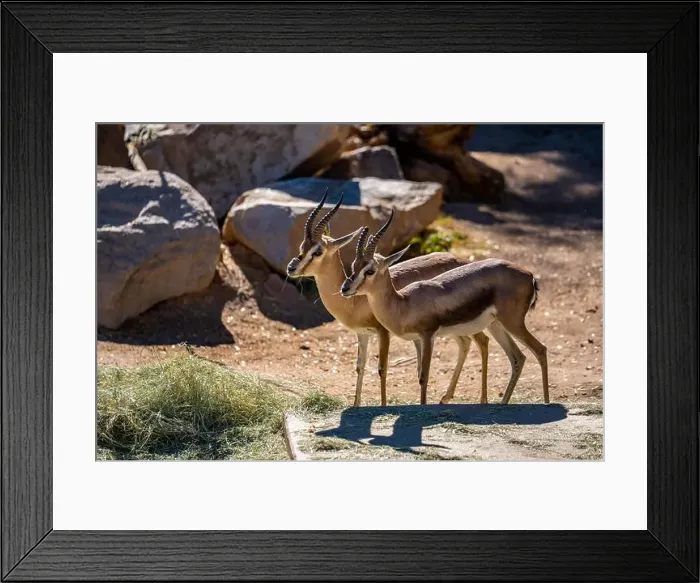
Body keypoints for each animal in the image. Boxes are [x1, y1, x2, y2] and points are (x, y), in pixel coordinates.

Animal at [286, 191, 490, 407]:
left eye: (317, 251)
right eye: (302, 246)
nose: (291, 268)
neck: (355, 302)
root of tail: (461, 261)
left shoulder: (383, 333)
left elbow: (382, 369)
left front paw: (382, 406)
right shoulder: (362, 334)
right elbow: (360, 366)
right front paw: (356, 405)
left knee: (482, 340)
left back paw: (480, 399)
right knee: (465, 343)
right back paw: (446, 398)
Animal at [340, 210, 549, 406]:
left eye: (370, 270)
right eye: (353, 266)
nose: (345, 288)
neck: (403, 304)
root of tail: (530, 276)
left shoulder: (428, 335)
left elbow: (423, 377)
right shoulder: (418, 339)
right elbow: (418, 372)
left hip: (512, 323)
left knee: (540, 349)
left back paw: (546, 402)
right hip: (496, 325)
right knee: (518, 358)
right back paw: (502, 404)